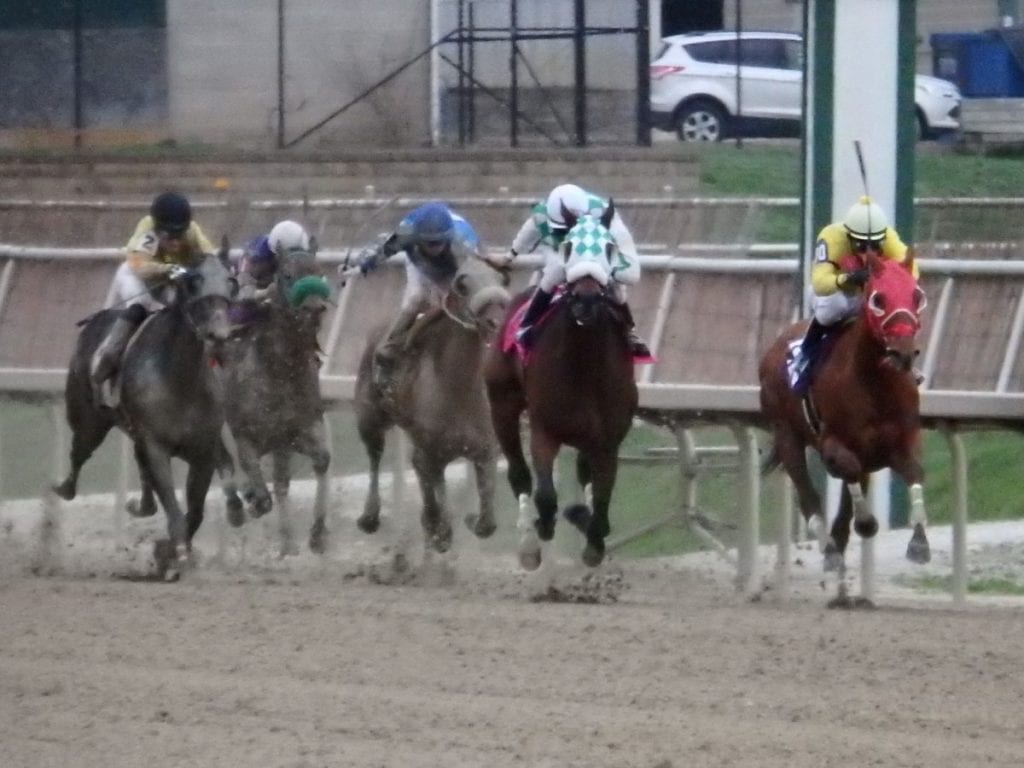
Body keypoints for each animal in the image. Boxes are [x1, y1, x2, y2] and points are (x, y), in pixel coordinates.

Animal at [54, 249, 237, 581]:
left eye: (231, 281)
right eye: (193, 282)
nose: (219, 336)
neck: (181, 378)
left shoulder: (202, 450)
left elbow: (195, 510)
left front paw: (168, 553)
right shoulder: (156, 446)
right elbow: (174, 507)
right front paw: (178, 556)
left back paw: (143, 505)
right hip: (89, 420)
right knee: (79, 453)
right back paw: (65, 487)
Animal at [220, 239, 331, 552]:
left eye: (319, 271)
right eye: (288, 275)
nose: (315, 308)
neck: (280, 370)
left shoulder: (297, 431)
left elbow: (322, 461)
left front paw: (317, 534)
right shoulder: (245, 436)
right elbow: (252, 474)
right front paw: (255, 500)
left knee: (281, 483)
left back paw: (287, 541)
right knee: (224, 469)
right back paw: (239, 506)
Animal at [354, 262, 509, 557]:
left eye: (501, 279)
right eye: (463, 285)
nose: (496, 322)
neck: (458, 390)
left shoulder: (485, 452)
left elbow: (487, 523)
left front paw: (470, 518)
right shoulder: (429, 453)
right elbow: (436, 504)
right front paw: (440, 532)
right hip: (369, 418)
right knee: (375, 457)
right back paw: (370, 515)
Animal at [481, 207, 638, 573]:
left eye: (608, 247)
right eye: (568, 247)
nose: (587, 299)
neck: (584, 366)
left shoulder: (606, 441)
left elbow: (602, 504)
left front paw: (590, 532)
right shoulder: (544, 430)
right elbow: (545, 495)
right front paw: (544, 525)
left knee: (582, 475)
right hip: (503, 405)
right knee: (520, 475)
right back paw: (528, 543)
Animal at [757, 252, 933, 606]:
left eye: (916, 296)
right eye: (878, 299)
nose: (903, 352)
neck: (875, 384)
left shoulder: (899, 443)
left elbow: (914, 473)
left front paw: (919, 544)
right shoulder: (833, 444)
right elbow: (845, 472)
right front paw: (864, 524)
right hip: (787, 435)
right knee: (809, 495)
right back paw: (829, 548)